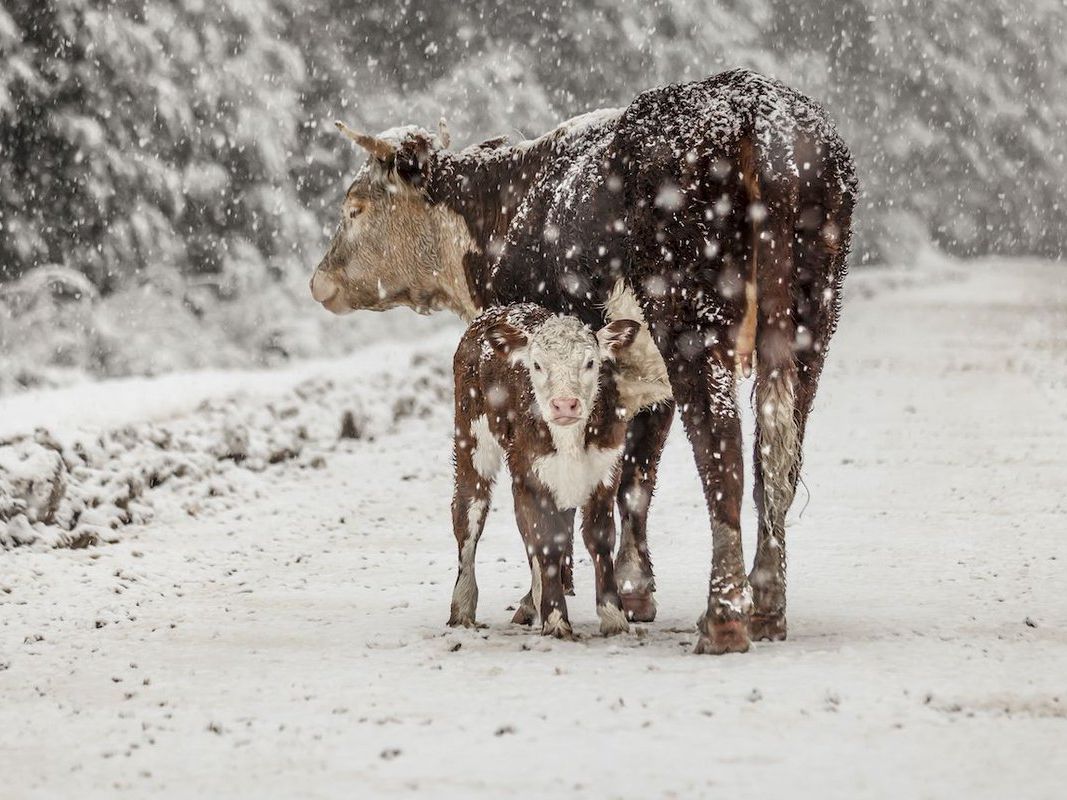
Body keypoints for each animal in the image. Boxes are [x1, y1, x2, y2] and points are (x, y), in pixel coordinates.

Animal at [448, 302, 635, 644]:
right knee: (469, 511)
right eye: (536, 365)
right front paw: (557, 619)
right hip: (472, 435)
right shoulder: (530, 471)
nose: (564, 404)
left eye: (590, 362)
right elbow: (547, 539)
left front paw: (613, 616)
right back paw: (462, 606)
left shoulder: (605, 469)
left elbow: (599, 537)